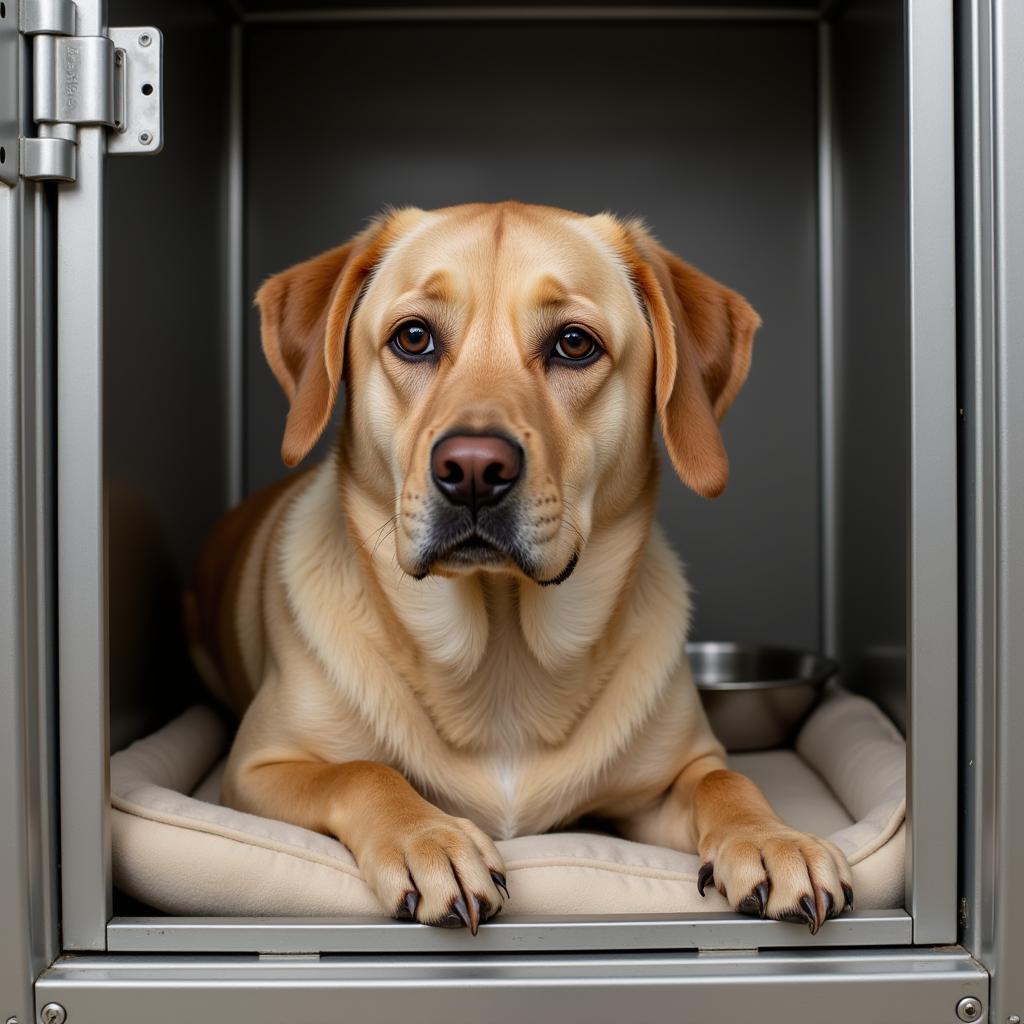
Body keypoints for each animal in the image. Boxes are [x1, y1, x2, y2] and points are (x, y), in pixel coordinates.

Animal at [186, 201, 856, 937]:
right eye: (413, 337)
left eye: (574, 344)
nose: (474, 469)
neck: (503, 656)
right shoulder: (256, 769)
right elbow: (361, 772)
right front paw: (428, 839)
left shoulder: (669, 779)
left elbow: (727, 780)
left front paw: (772, 839)